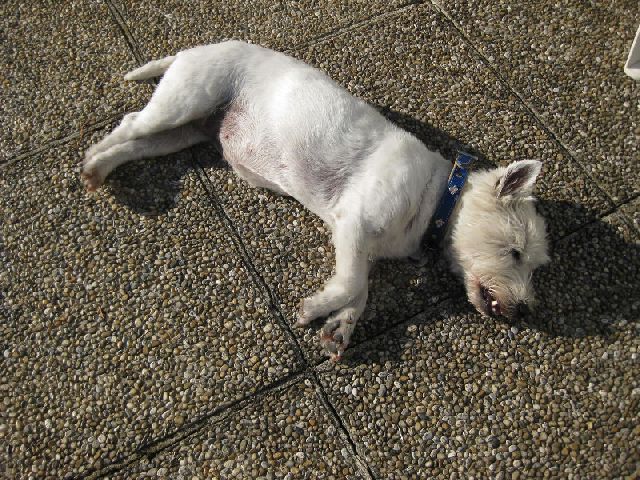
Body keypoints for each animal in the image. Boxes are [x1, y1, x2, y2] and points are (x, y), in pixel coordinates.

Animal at [81, 41, 552, 358]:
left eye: (534, 265)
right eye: (514, 252)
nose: (526, 311)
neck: (437, 197)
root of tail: (192, 48)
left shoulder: (359, 244)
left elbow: (360, 289)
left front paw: (340, 326)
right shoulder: (354, 223)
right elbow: (351, 283)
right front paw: (316, 309)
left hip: (184, 132)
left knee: (139, 143)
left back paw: (102, 168)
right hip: (185, 100)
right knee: (130, 123)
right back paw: (91, 163)